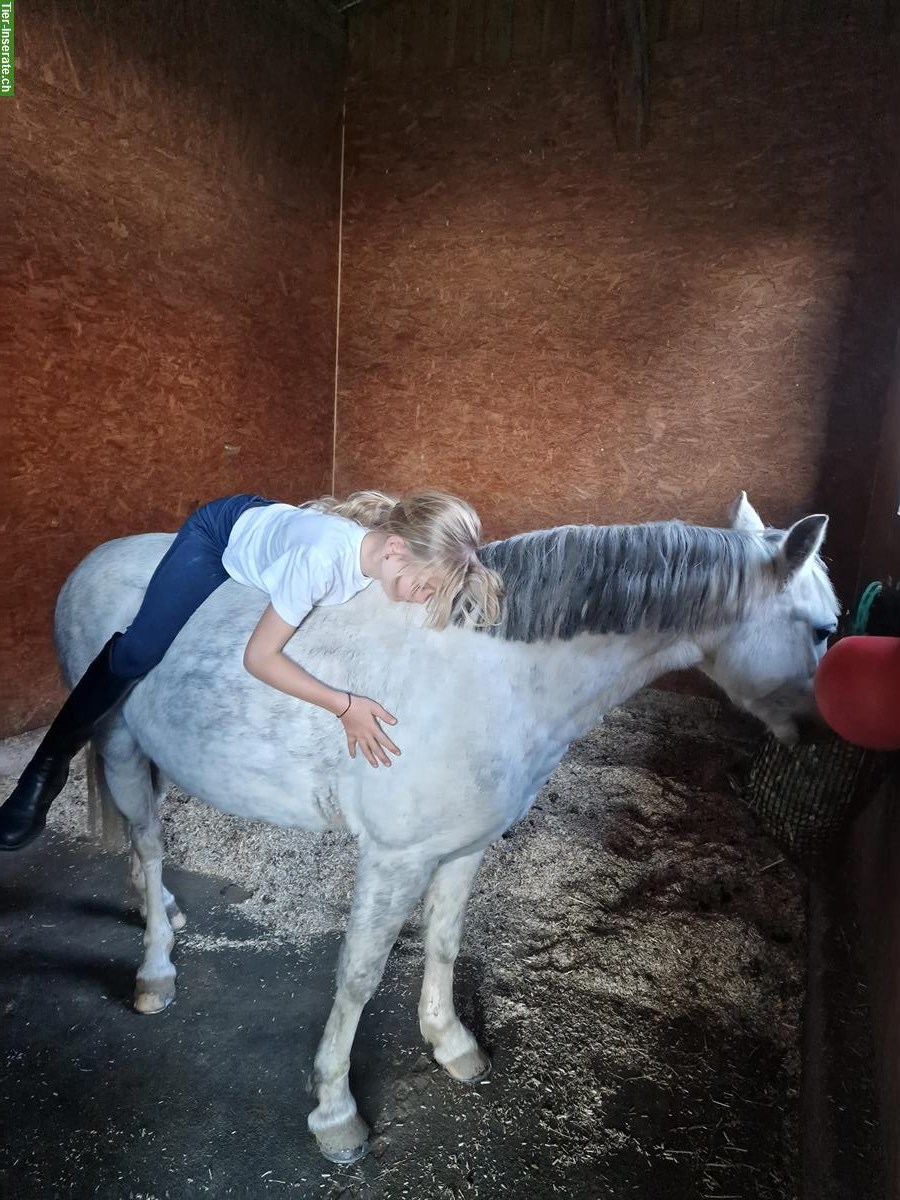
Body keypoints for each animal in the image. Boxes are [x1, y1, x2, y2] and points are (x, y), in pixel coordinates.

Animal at [49, 492, 837, 1163]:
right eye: (825, 630)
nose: (822, 738)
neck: (491, 675)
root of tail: (86, 566)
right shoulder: (394, 859)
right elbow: (359, 976)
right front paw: (336, 1114)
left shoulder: (464, 848)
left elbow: (446, 944)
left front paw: (452, 1042)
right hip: (119, 742)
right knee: (150, 841)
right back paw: (156, 967)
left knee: (141, 839)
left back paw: (160, 908)